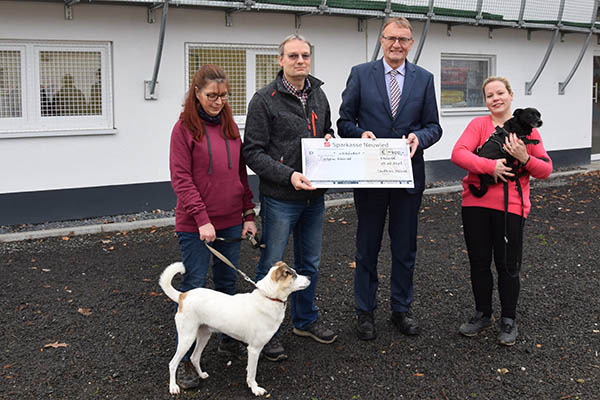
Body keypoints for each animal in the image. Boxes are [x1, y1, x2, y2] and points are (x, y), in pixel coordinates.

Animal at [159, 260, 310, 396]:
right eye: (294, 275)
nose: (309, 278)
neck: (269, 297)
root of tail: (182, 296)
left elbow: (249, 370)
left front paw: (251, 385)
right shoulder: (254, 349)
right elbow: (252, 372)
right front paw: (255, 389)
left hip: (204, 335)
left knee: (194, 357)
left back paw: (201, 375)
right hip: (187, 338)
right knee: (172, 364)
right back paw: (173, 387)